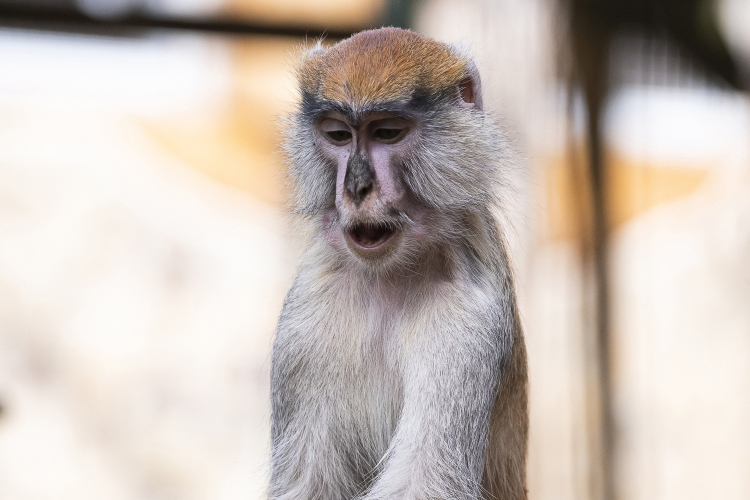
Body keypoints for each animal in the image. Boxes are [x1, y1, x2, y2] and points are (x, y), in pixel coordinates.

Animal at [270, 28, 528, 500]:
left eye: (387, 132)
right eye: (338, 135)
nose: (356, 187)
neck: (390, 276)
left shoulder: (469, 320)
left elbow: (422, 480)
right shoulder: (308, 312)